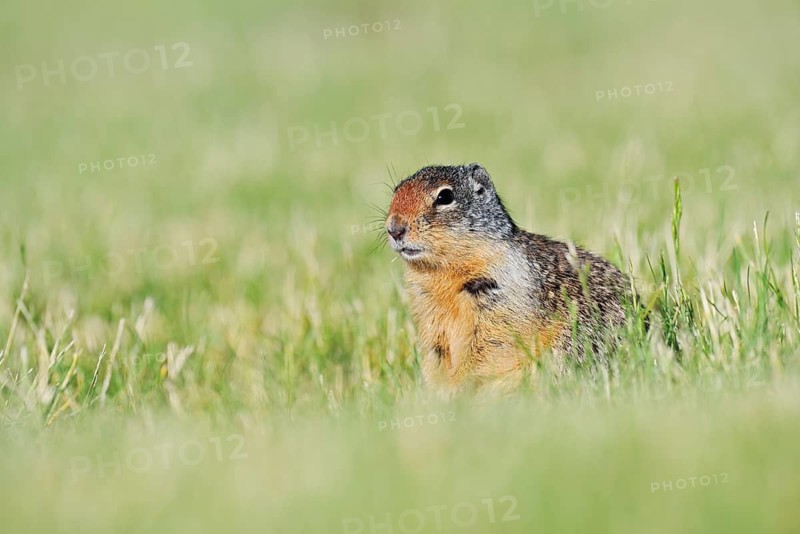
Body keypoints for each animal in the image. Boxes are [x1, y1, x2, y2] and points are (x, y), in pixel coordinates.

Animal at [385, 163, 634, 395]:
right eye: (396, 191)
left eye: (445, 196)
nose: (394, 229)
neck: (442, 273)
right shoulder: (428, 312)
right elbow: (436, 351)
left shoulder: (502, 294)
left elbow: (489, 346)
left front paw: (459, 387)